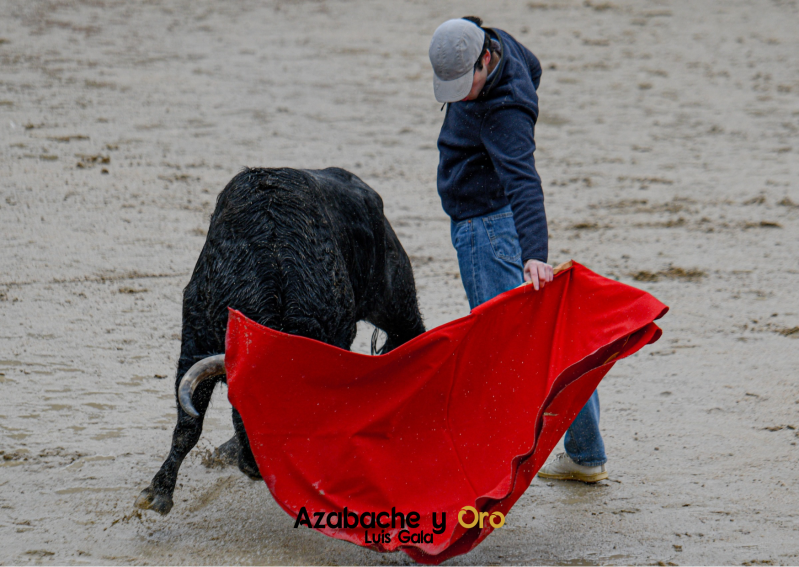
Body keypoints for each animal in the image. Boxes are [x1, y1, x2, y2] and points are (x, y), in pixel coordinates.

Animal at [135, 167, 426, 515]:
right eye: (240, 403)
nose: (257, 468)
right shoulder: (195, 341)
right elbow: (188, 424)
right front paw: (157, 493)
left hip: (394, 298)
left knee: (410, 332)